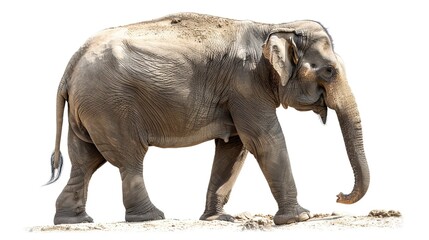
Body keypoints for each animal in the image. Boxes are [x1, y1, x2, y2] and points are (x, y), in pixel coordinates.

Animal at [46, 12, 368, 226]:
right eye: (329, 71)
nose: (338, 195)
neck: (274, 26)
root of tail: (71, 64)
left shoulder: (238, 93)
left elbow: (234, 149)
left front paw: (217, 218)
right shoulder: (245, 84)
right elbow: (264, 140)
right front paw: (299, 217)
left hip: (90, 109)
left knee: (85, 161)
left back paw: (74, 221)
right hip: (111, 105)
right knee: (128, 158)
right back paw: (151, 217)